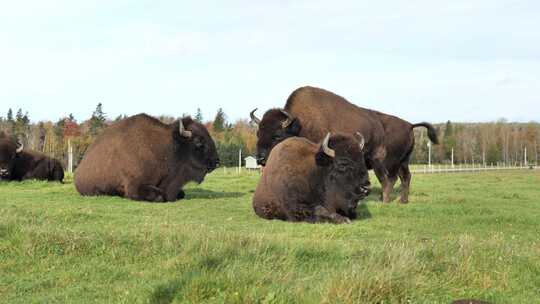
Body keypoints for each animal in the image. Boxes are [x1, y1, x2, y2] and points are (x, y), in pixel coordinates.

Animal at [252, 85, 438, 203]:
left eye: (276, 135)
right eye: (258, 133)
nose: (260, 159)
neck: (301, 123)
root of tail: (409, 125)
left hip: (383, 161)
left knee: (388, 178)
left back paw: (384, 200)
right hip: (403, 161)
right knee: (404, 177)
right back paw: (402, 201)